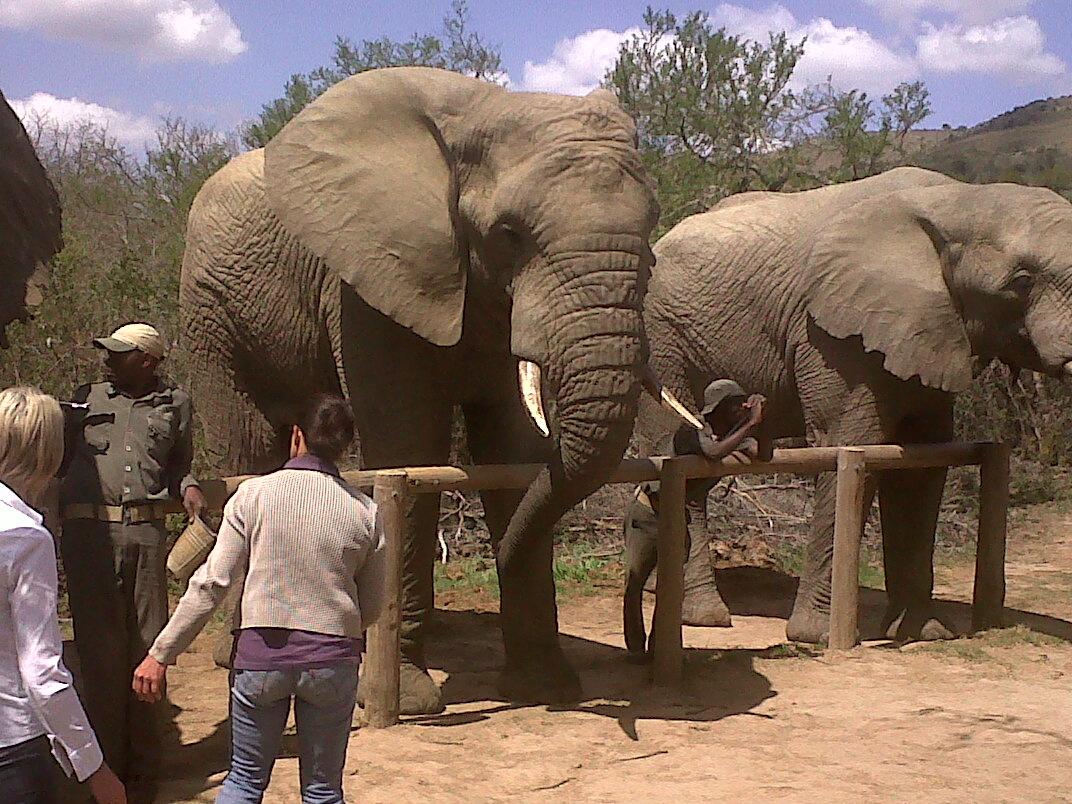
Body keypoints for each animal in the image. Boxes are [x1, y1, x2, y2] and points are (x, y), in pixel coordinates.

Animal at [179, 66, 697, 712]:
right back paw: (238, 654)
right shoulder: (367, 284)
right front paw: (408, 700)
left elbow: (513, 453)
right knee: (247, 449)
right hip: (211, 313)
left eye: (652, 224)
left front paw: (542, 686)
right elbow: (409, 449)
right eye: (508, 234)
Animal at [642, 166, 1072, 644]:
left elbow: (920, 466)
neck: (959, 200)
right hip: (664, 342)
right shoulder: (833, 338)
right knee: (680, 456)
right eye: (1022, 282)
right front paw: (816, 636)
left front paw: (923, 633)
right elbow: (849, 448)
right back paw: (703, 617)